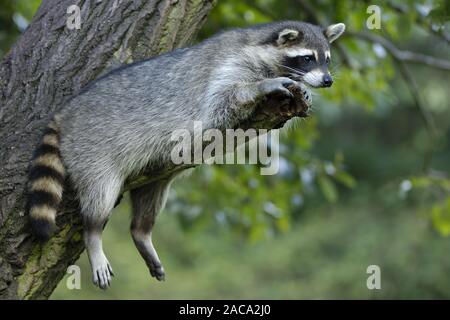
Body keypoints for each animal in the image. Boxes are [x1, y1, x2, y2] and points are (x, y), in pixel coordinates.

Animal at [27, 20, 344, 290]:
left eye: (327, 59)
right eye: (307, 58)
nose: (328, 80)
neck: (260, 47)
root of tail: (66, 112)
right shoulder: (229, 67)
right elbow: (224, 101)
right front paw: (263, 86)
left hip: (153, 175)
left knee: (150, 199)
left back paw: (142, 232)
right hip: (92, 150)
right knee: (99, 198)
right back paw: (93, 235)